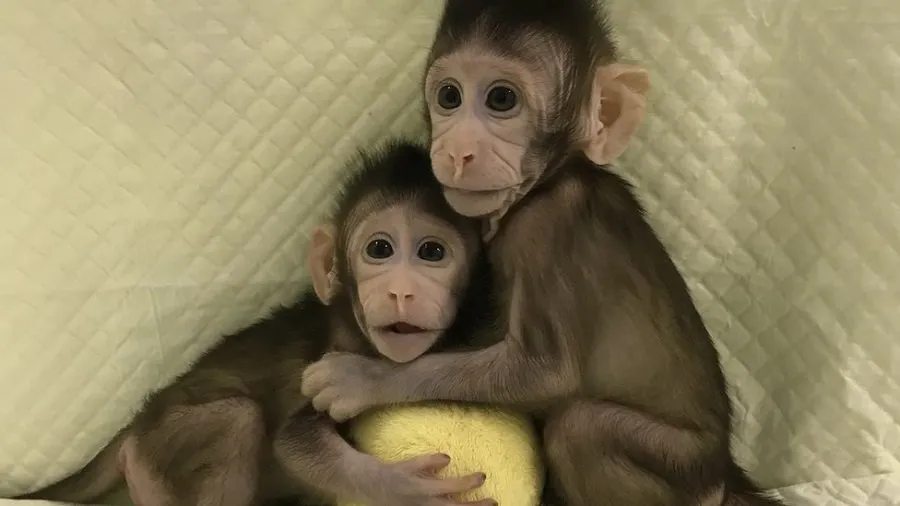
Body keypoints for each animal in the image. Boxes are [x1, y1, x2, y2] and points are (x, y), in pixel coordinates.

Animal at [17, 139, 498, 506]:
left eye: (432, 252)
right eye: (379, 249)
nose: (401, 291)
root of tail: (137, 425)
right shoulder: (330, 361)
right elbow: (295, 442)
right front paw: (402, 488)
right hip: (161, 448)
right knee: (238, 419)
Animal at [300, 1, 789, 506]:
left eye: (501, 100)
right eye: (449, 96)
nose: (457, 151)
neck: (551, 179)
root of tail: (724, 473)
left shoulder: (544, 226)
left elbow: (545, 372)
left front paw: (363, 379)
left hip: (681, 466)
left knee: (579, 428)